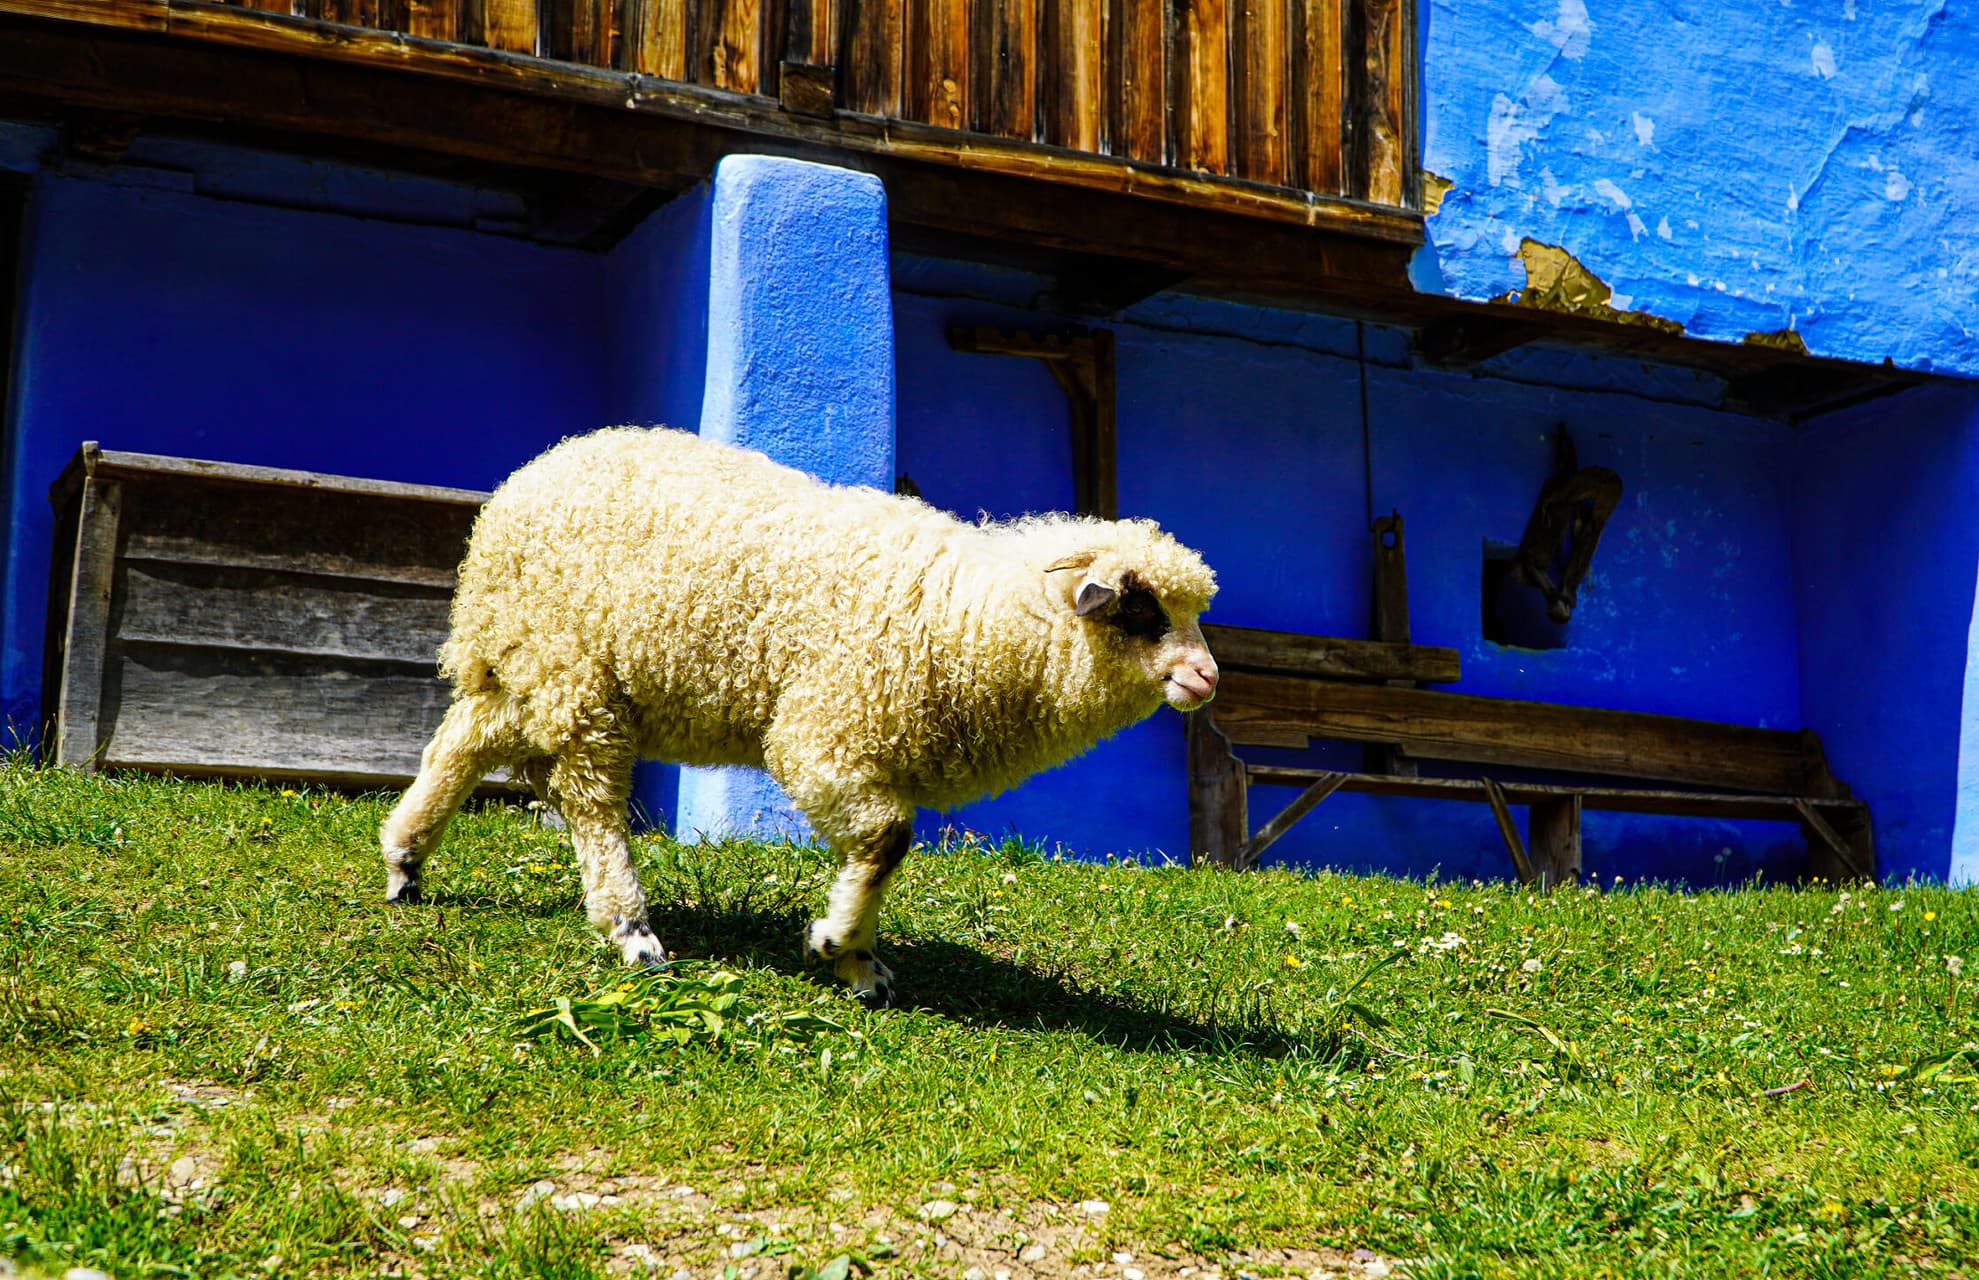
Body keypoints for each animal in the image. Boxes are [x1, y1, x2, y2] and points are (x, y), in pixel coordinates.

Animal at [379, 425, 1219, 1005]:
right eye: (1141, 609)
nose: (1206, 677)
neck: (966, 615)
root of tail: (535, 471)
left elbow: (880, 849)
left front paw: (857, 962)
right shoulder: (821, 738)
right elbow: (886, 841)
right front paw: (838, 945)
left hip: (528, 666)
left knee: (461, 741)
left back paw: (405, 859)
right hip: (575, 673)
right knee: (589, 805)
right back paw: (631, 930)